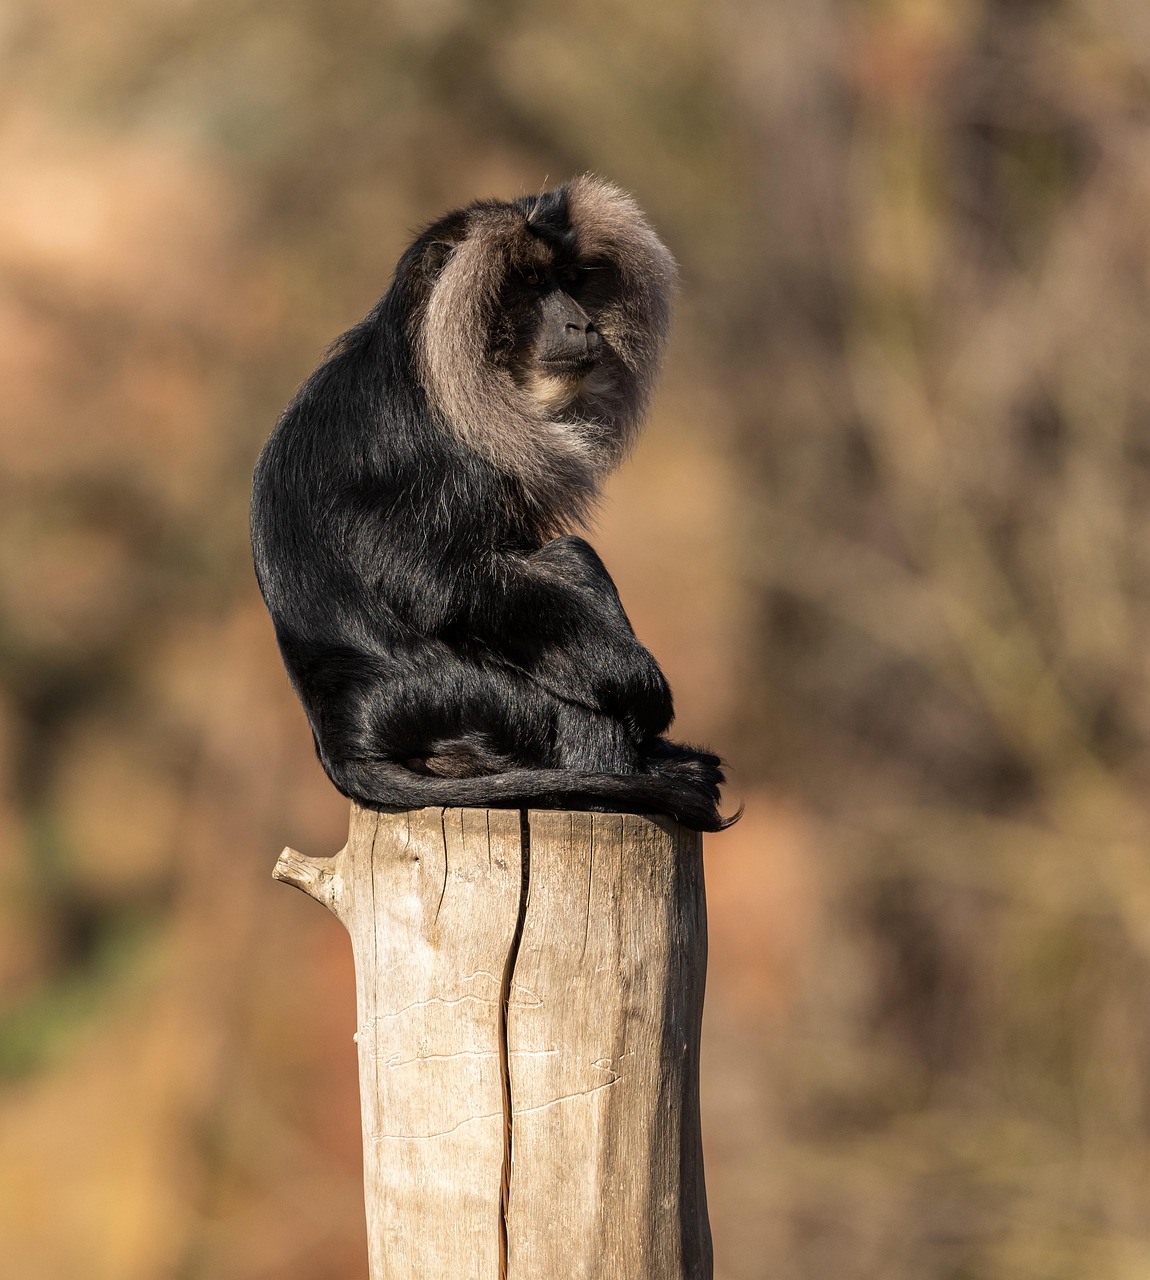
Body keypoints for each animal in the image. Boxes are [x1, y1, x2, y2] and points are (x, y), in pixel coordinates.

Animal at [250, 176, 734, 832]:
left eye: (570, 279)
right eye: (530, 283)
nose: (582, 325)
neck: (428, 363)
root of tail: (340, 734)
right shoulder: (444, 458)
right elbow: (431, 581)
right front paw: (637, 686)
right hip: (471, 703)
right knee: (564, 578)